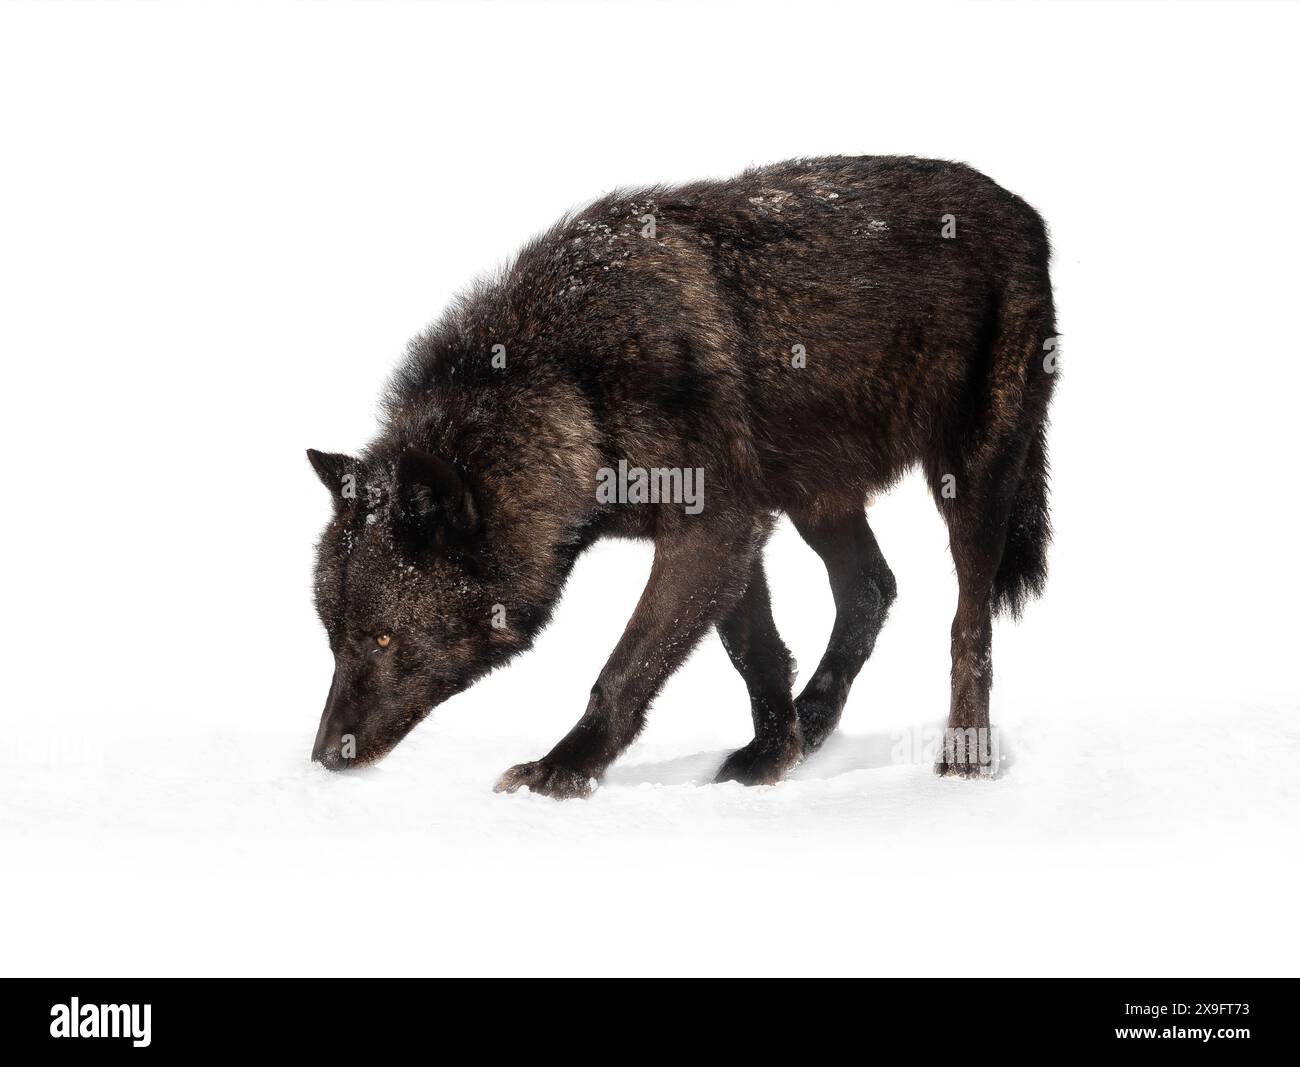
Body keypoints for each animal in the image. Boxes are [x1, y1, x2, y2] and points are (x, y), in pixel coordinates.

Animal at [306, 154, 1055, 795]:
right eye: (334, 637)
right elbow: (754, 652)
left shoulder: (711, 529)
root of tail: (1024, 210)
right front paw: (769, 757)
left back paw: (964, 760)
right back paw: (814, 722)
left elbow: (627, 666)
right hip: (815, 495)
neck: (573, 384)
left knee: (968, 625)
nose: (324, 757)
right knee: (872, 587)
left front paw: (561, 771)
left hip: (971, 481)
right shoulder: (733, 532)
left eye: (383, 638)